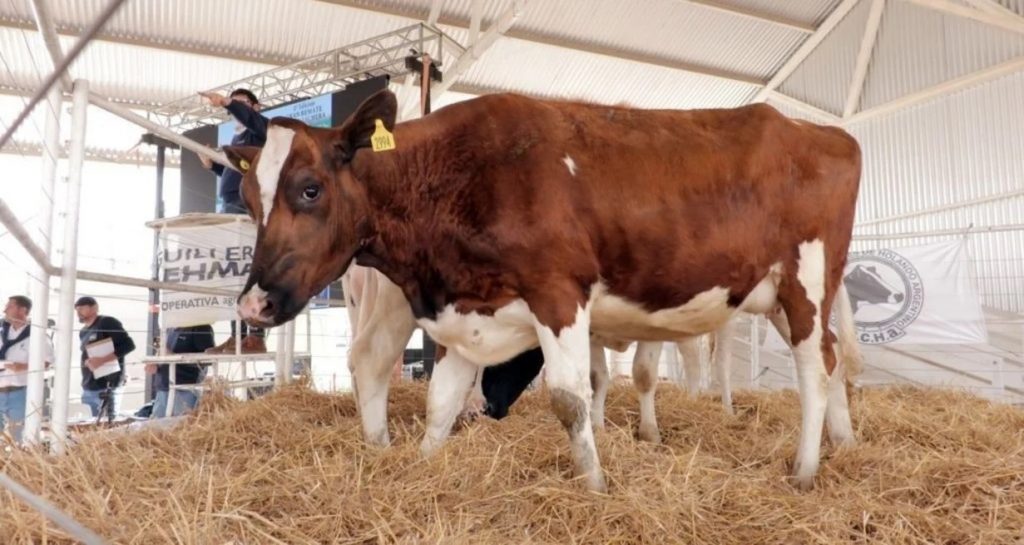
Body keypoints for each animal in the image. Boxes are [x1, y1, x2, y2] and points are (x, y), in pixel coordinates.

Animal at [226, 90, 864, 493]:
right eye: (250, 200)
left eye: (309, 189)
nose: (253, 303)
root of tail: (824, 132)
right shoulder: (468, 309)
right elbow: (441, 403)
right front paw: (424, 467)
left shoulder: (558, 292)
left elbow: (569, 398)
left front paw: (596, 485)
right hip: (778, 295)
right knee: (831, 357)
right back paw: (845, 443)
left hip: (807, 280)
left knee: (813, 367)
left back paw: (805, 470)